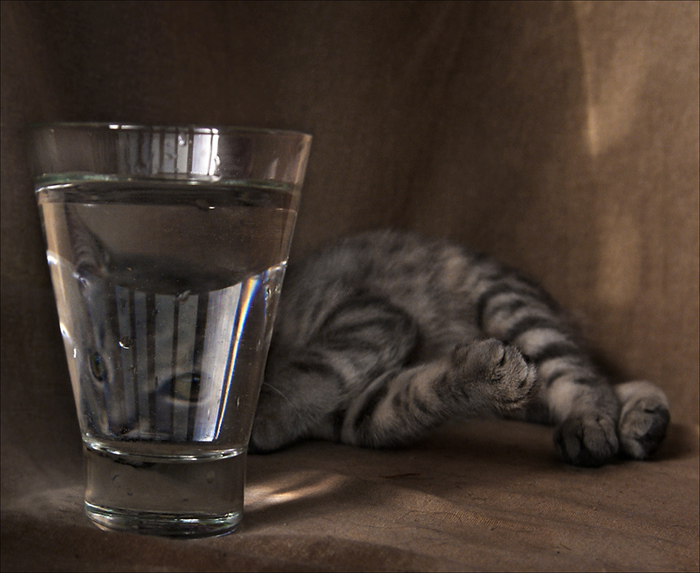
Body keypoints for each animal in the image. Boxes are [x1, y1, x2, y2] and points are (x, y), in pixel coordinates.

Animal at [250, 229, 670, 466]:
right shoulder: (361, 409)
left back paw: (591, 422)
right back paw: (645, 417)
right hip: (530, 390)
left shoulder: (368, 316)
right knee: (605, 383)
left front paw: (258, 422)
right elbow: (418, 392)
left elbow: (310, 371)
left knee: (586, 379)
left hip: (511, 307)